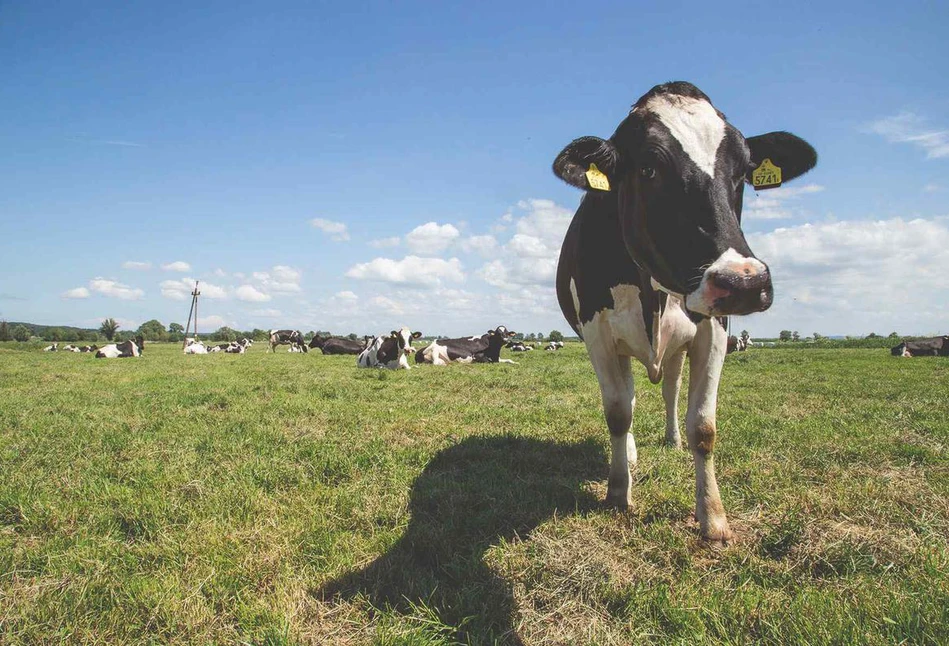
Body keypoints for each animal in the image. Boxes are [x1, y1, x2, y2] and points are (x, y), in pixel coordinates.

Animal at [556, 82, 816, 548]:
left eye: (743, 170)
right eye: (648, 168)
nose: (744, 282)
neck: (651, 292)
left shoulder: (713, 330)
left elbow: (704, 426)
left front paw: (712, 517)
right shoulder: (597, 334)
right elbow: (617, 412)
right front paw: (618, 492)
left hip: (677, 348)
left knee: (669, 391)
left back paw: (671, 439)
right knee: (628, 398)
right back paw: (630, 456)